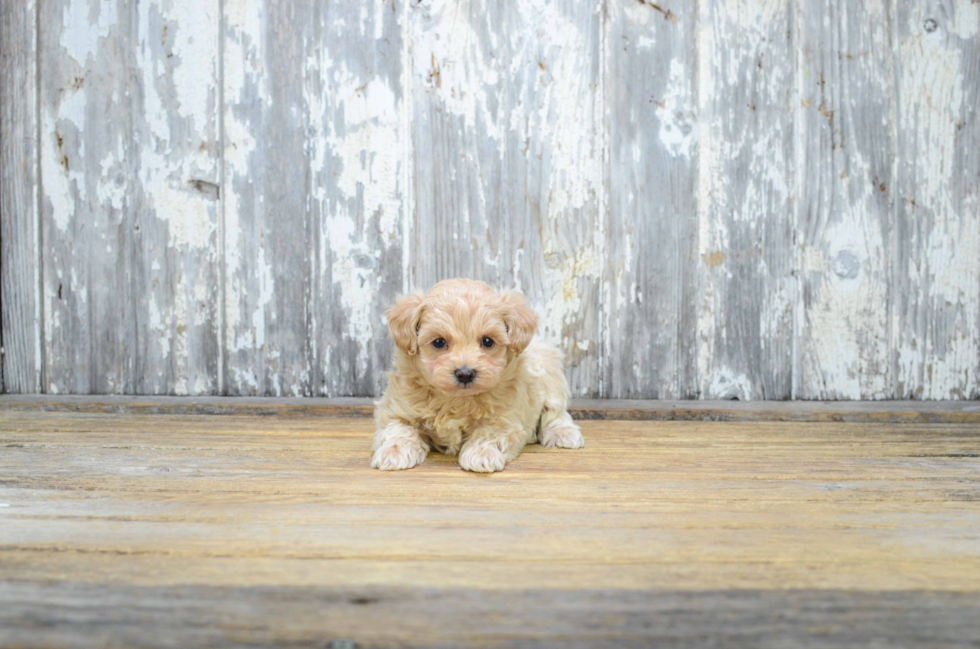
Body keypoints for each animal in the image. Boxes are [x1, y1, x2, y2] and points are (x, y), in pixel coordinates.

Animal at [368, 278, 580, 470]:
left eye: (487, 341)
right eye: (439, 342)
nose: (465, 374)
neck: (456, 400)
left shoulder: (506, 419)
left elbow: (490, 433)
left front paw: (482, 454)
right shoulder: (395, 409)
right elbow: (398, 428)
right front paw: (394, 452)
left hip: (551, 379)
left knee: (556, 413)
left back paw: (563, 433)